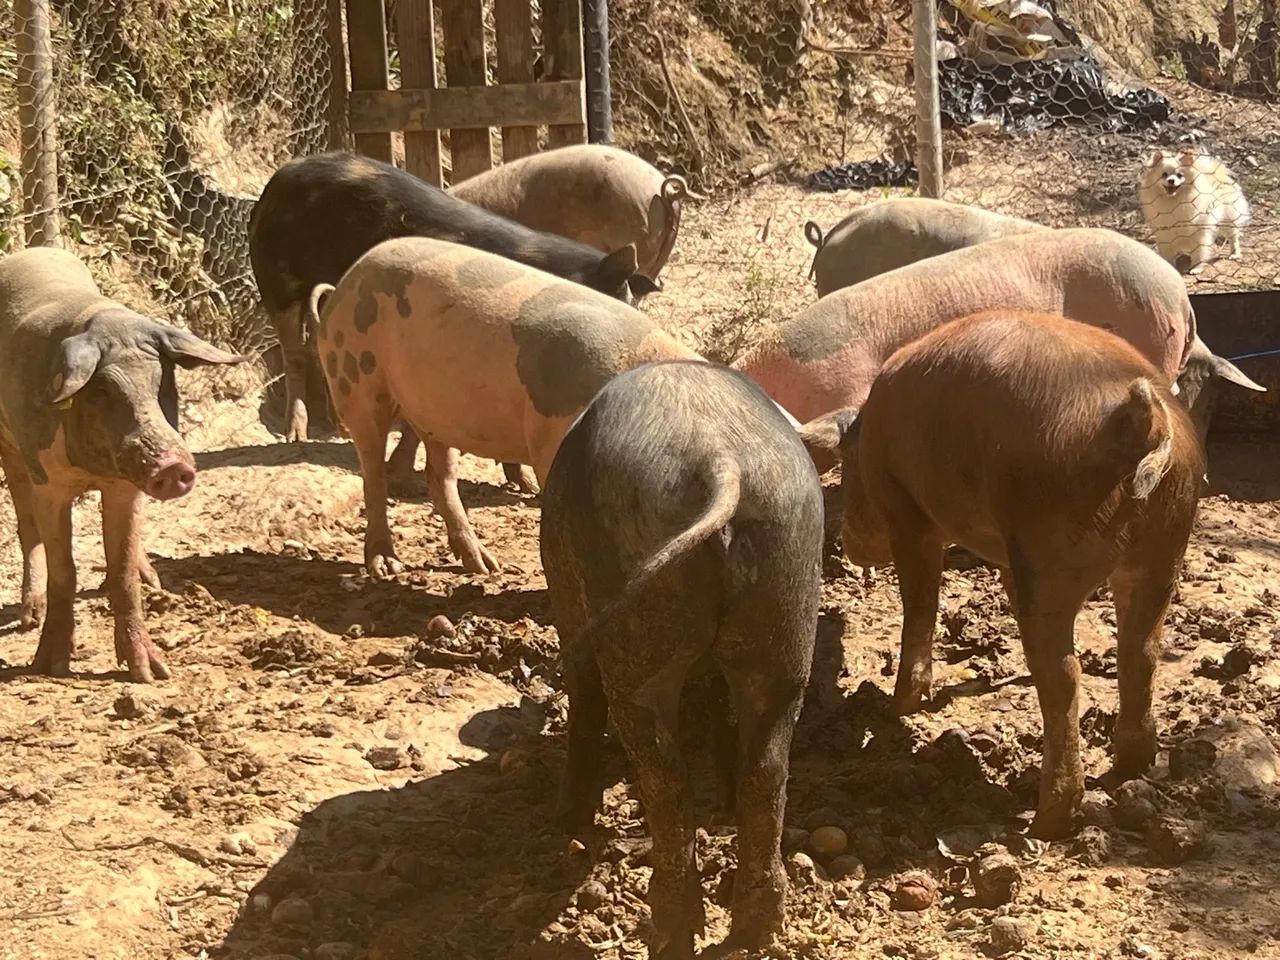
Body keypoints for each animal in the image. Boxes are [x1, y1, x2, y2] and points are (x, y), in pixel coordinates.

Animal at [0, 248, 244, 681]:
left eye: (164, 382)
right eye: (103, 389)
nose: (171, 465)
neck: (93, 470)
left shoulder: (126, 487)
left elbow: (123, 572)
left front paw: (151, 674)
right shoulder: (47, 480)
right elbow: (64, 571)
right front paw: (51, 667)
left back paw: (154, 582)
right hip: (9, 447)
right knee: (26, 526)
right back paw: (30, 616)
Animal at [308, 237, 703, 576]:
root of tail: (343, 284)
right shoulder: (550, 434)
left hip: (436, 410)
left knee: (439, 476)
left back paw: (485, 566)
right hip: (356, 378)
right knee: (372, 470)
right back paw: (387, 567)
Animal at [542, 360, 823, 959]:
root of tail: (719, 457)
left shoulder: (570, 607)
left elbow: (583, 694)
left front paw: (565, 820)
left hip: (633, 615)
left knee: (661, 771)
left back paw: (669, 932)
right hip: (787, 594)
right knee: (768, 766)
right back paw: (757, 929)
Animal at [800, 310, 1203, 838]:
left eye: (847, 465)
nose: (849, 545)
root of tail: (1143, 421)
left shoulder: (908, 513)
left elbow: (920, 605)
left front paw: (898, 707)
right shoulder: (1012, 556)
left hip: (1053, 546)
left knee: (1064, 673)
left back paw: (1047, 821)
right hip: (1165, 548)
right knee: (1141, 652)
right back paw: (1131, 769)